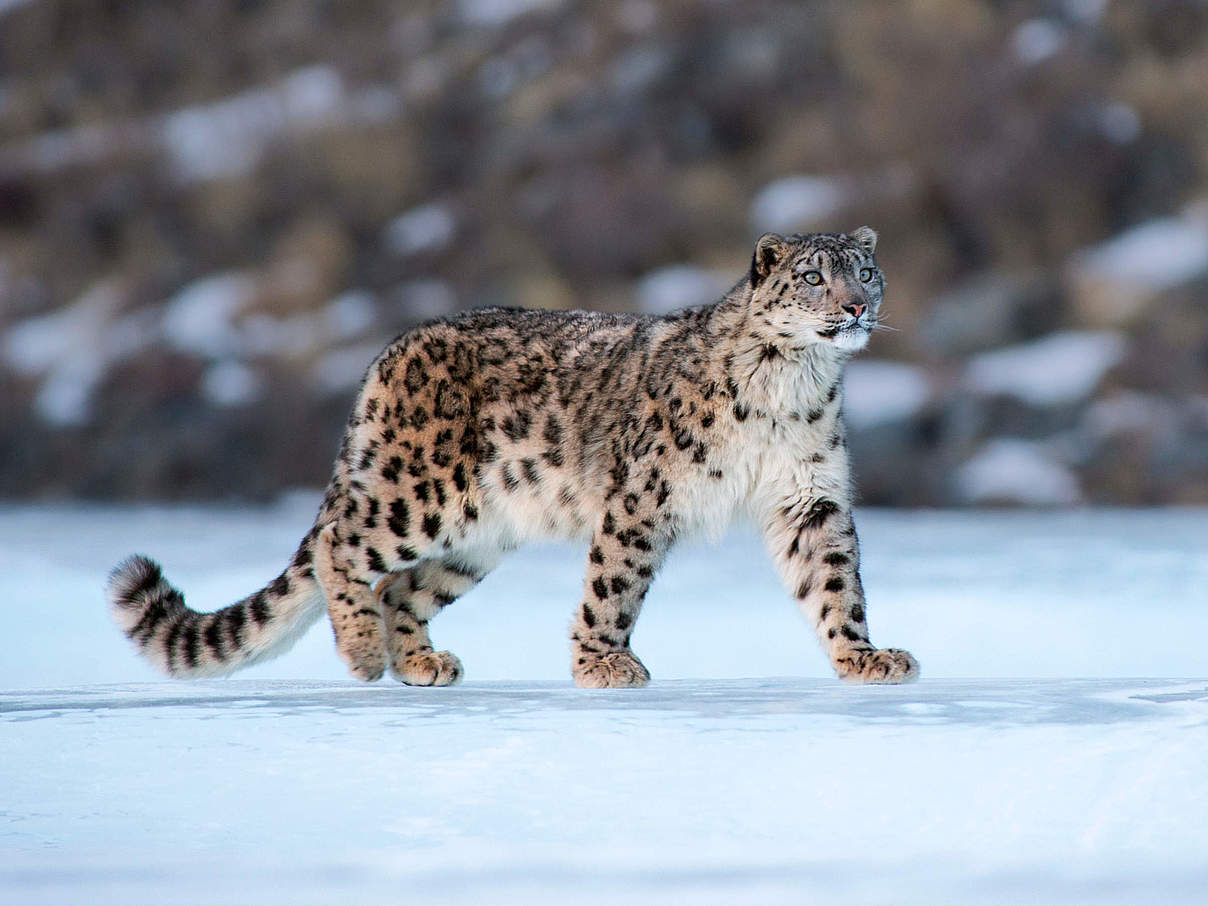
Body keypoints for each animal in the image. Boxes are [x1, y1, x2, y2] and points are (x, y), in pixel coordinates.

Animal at [111, 227, 913, 686]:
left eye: (866, 271)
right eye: (812, 277)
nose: (855, 306)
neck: (793, 384)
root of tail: (389, 354)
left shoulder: (809, 495)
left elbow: (834, 582)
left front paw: (863, 655)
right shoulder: (643, 495)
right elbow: (613, 584)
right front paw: (602, 664)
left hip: (478, 536)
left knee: (404, 589)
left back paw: (421, 664)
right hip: (418, 497)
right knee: (342, 542)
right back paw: (365, 653)